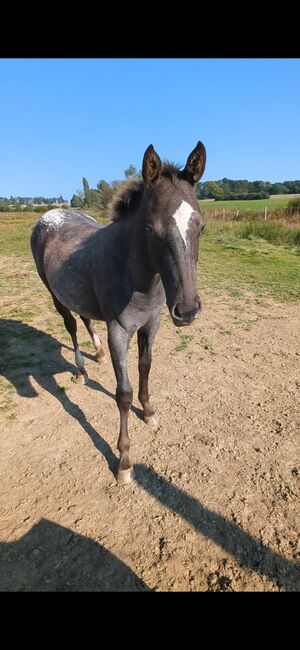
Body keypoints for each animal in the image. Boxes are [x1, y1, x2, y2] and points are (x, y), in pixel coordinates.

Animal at [31, 140, 206, 480]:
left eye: (201, 228)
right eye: (151, 230)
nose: (188, 310)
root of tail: (50, 213)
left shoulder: (151, 323)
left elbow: (145, 367)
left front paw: (149, 412)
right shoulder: (119, 331)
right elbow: (123, 393)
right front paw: (124, 461)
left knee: (84, 316)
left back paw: (97, 353)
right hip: (54, 293)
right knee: (71, 325)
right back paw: (82, 370)